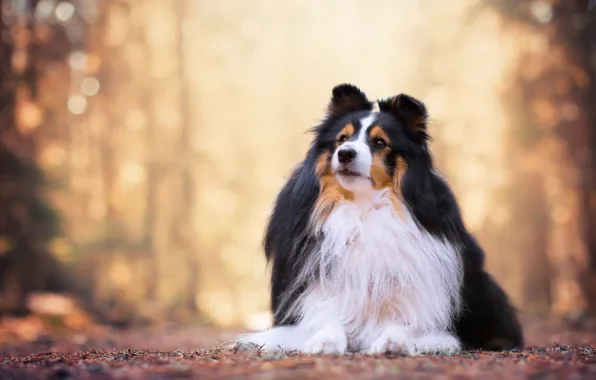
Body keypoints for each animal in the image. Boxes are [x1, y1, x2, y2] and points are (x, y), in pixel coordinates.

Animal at [235, 84, 524, 354]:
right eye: (342, 138)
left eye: (380, 142)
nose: (345, 153)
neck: (363, 207)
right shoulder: (319, 289)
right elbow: (326, 318)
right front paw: (325, 341)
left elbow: (405, 323)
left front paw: (392, 342)